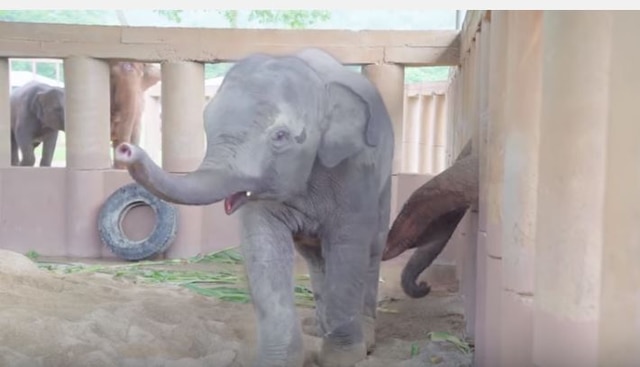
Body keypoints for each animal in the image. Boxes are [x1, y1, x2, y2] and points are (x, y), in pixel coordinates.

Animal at [115, 47, 396, 366]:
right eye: (207, 121)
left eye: (280, 136)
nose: (125, 149)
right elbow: (265, 249)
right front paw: (280, 361)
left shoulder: (356, 170)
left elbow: (347, 248)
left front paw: (343, 358)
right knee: (314, 257)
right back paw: (318, 327)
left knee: (371, 248)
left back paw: (365, 336)